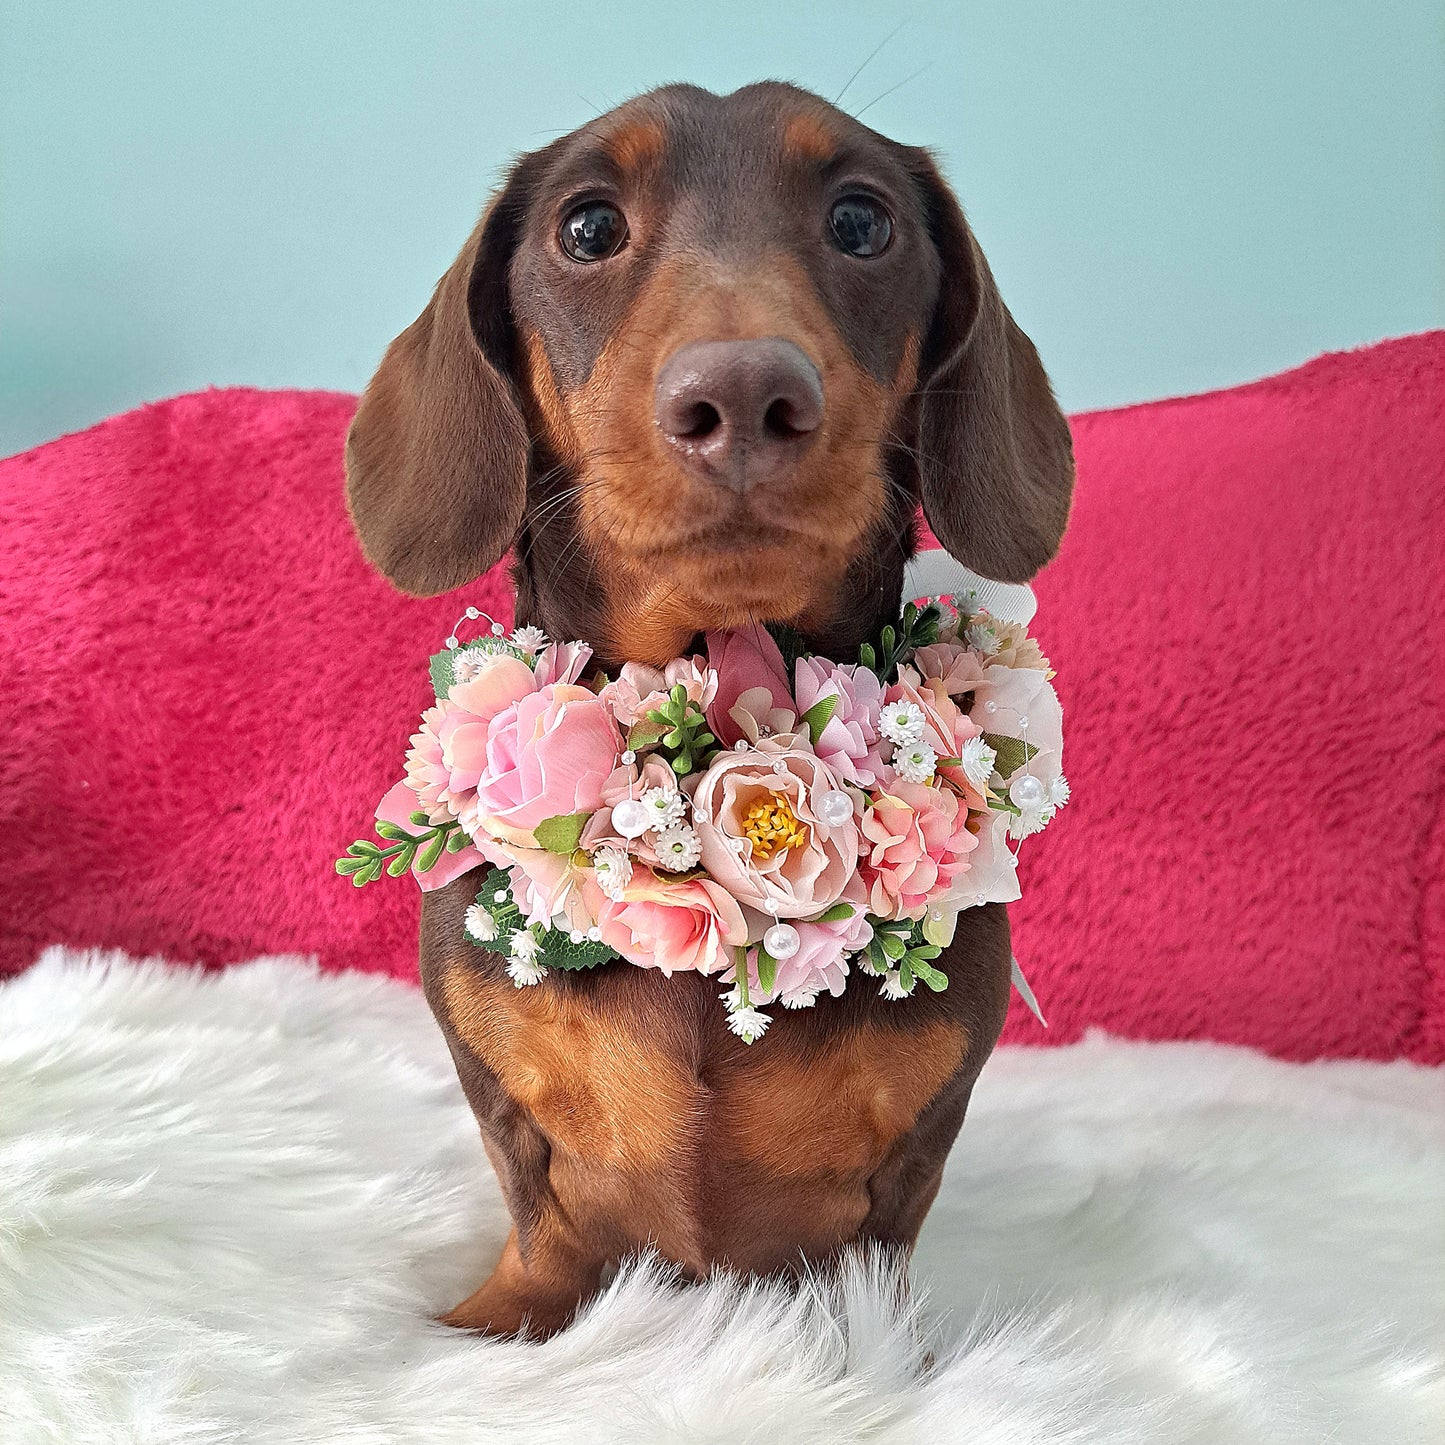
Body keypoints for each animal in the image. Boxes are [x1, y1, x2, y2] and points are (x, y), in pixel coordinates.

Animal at [346, 84, 1075, 1335]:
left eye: (861, 221)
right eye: (587, 227)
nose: (741, 393)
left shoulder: (913, 1150)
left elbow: (882, 1240)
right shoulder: (502, 1102)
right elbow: (537, 1208)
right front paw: (495, 1318)